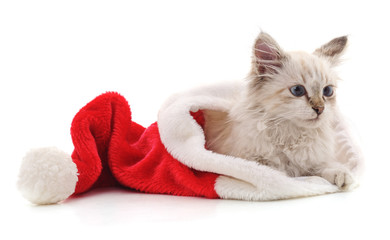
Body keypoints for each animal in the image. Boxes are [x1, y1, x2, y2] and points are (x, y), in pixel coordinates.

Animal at [204, 31, 354, 189]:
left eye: (327, 91)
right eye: (297, 90)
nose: (320, 108)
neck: (290, 132)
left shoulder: (312, 160)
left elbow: (324, 166)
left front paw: (342, 175)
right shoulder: (246, 157)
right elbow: (273, 169)